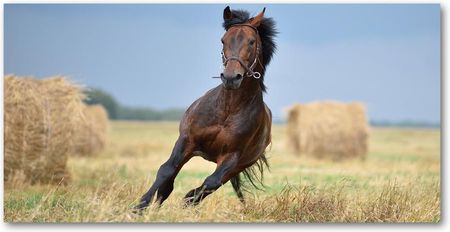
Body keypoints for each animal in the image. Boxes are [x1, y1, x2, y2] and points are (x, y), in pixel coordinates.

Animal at [136, 5, 278, 210]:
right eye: (223, 40)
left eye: (251, 42)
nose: (231, 77)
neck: (228, 109)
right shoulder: (187, 140)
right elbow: (166, 170)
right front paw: (140, 207)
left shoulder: (231, 156)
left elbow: (210, 182)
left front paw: (186, 201)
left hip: (239, 165)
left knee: (213, 184)